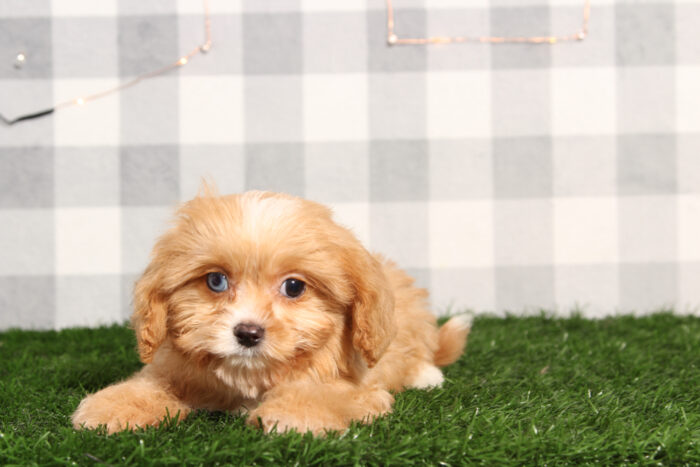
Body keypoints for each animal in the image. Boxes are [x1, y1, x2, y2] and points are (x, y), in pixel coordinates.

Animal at [72, 189, 470, 436]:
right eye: (216, 281)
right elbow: (153, 382)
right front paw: (113, 407)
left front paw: (292, 413)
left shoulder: (354, 384)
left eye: (294, 287)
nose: (248, 333)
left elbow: (326, 393)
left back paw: (426, 375)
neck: (249, 378)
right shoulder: (175, 367)